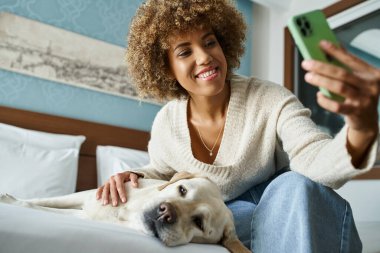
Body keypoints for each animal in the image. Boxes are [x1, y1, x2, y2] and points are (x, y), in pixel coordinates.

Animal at [0, 172, 252, 253]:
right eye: (182, 190)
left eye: (199, 222)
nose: (165, 212)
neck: (130, 211)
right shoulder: (86, 196)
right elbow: (43, 200)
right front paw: (9, 197)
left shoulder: (85, 214)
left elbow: (38, 207)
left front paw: (13, 202)